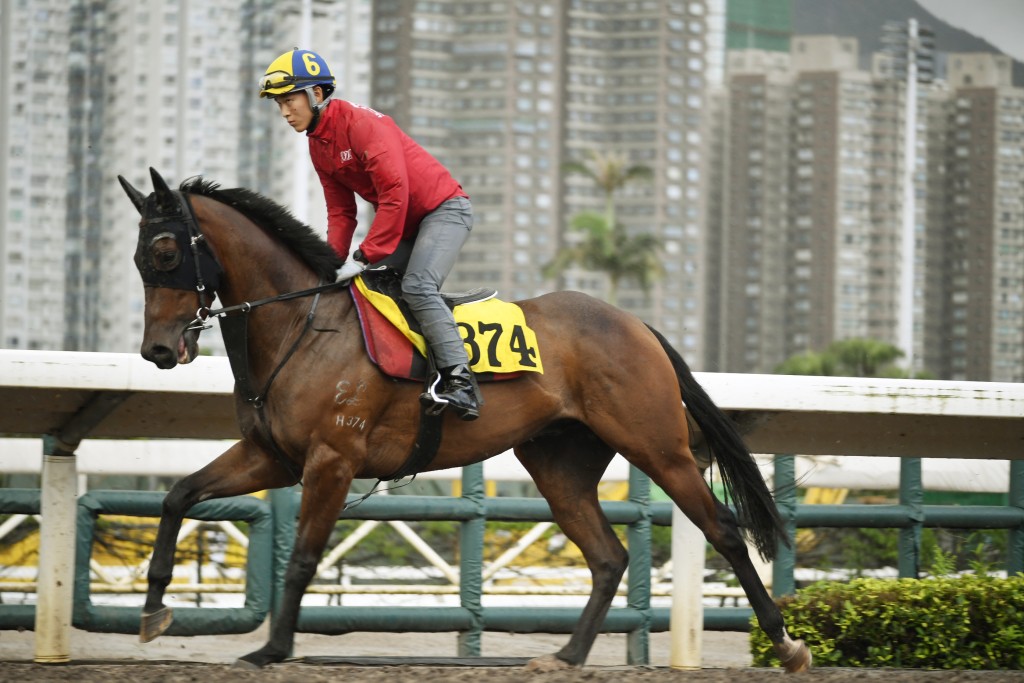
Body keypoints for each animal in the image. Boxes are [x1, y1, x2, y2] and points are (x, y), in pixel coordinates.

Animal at [117, 167, 806, 671]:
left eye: (166, 250)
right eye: (138, 257)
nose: (159, 351)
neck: (300, 328)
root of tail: (637, 324)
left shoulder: (332, 461)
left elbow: (305, 555)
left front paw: (273, 649)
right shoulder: (271, 456)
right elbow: (179, 495)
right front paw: (152, 611)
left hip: (656, 445)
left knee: (722, 529)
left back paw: (785, 643)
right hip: (559, 464)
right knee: (609, 556)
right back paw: (566, 655)